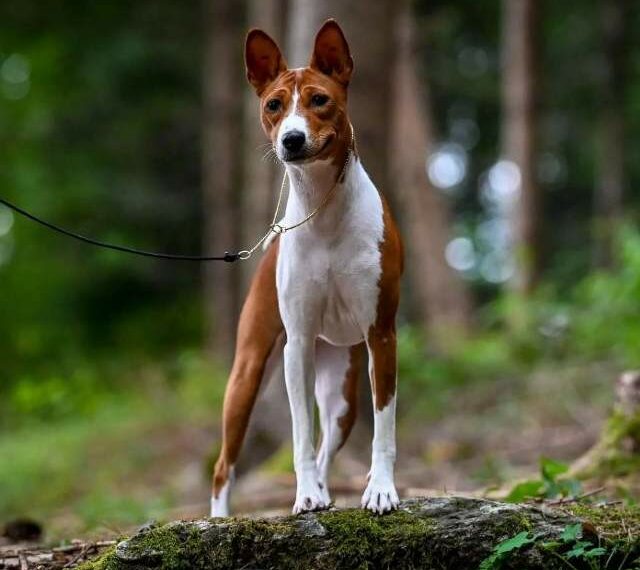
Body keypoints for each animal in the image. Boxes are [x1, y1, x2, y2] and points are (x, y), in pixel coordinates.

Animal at [212, 18, 402, 516]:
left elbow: (385, 426)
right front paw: (306, 495)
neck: (323, 212)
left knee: (327, 443)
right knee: (224, 466)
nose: (291, 139)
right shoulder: (295, 345)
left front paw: (381, 489)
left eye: (319, 100)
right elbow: (299, 434)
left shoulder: (381, 334)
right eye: (273, 105)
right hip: (248, 372)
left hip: (342, 393)